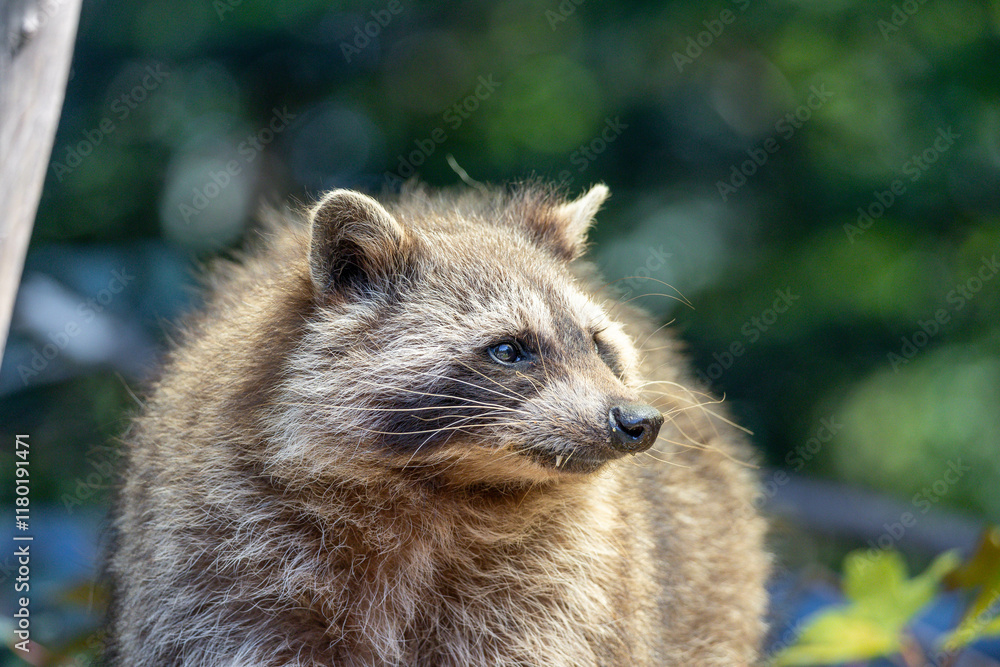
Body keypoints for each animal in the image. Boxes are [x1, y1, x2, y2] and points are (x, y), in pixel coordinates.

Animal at [105, 184, 768, 666]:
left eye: (598, 345)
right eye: (510, 349)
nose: (639, 422)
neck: (434, 485)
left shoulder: (563, 584)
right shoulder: (225, 559)